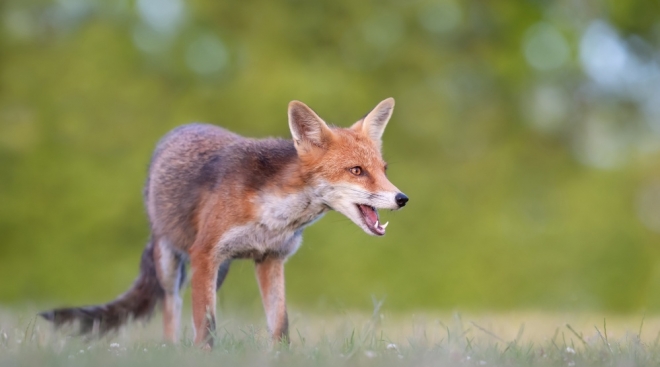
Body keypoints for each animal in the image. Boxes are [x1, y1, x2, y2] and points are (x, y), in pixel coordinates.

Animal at [38, 98, 408, 348]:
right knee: (171, 309)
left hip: (218, 272)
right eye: (356, 171)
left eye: (384, 169)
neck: (274, 214)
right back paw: (171, 350)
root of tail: (185, 126)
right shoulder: (205, 254)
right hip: (173, 262)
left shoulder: (270, 259)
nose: (402, 198)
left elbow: (280, 326)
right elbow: (207, 329)